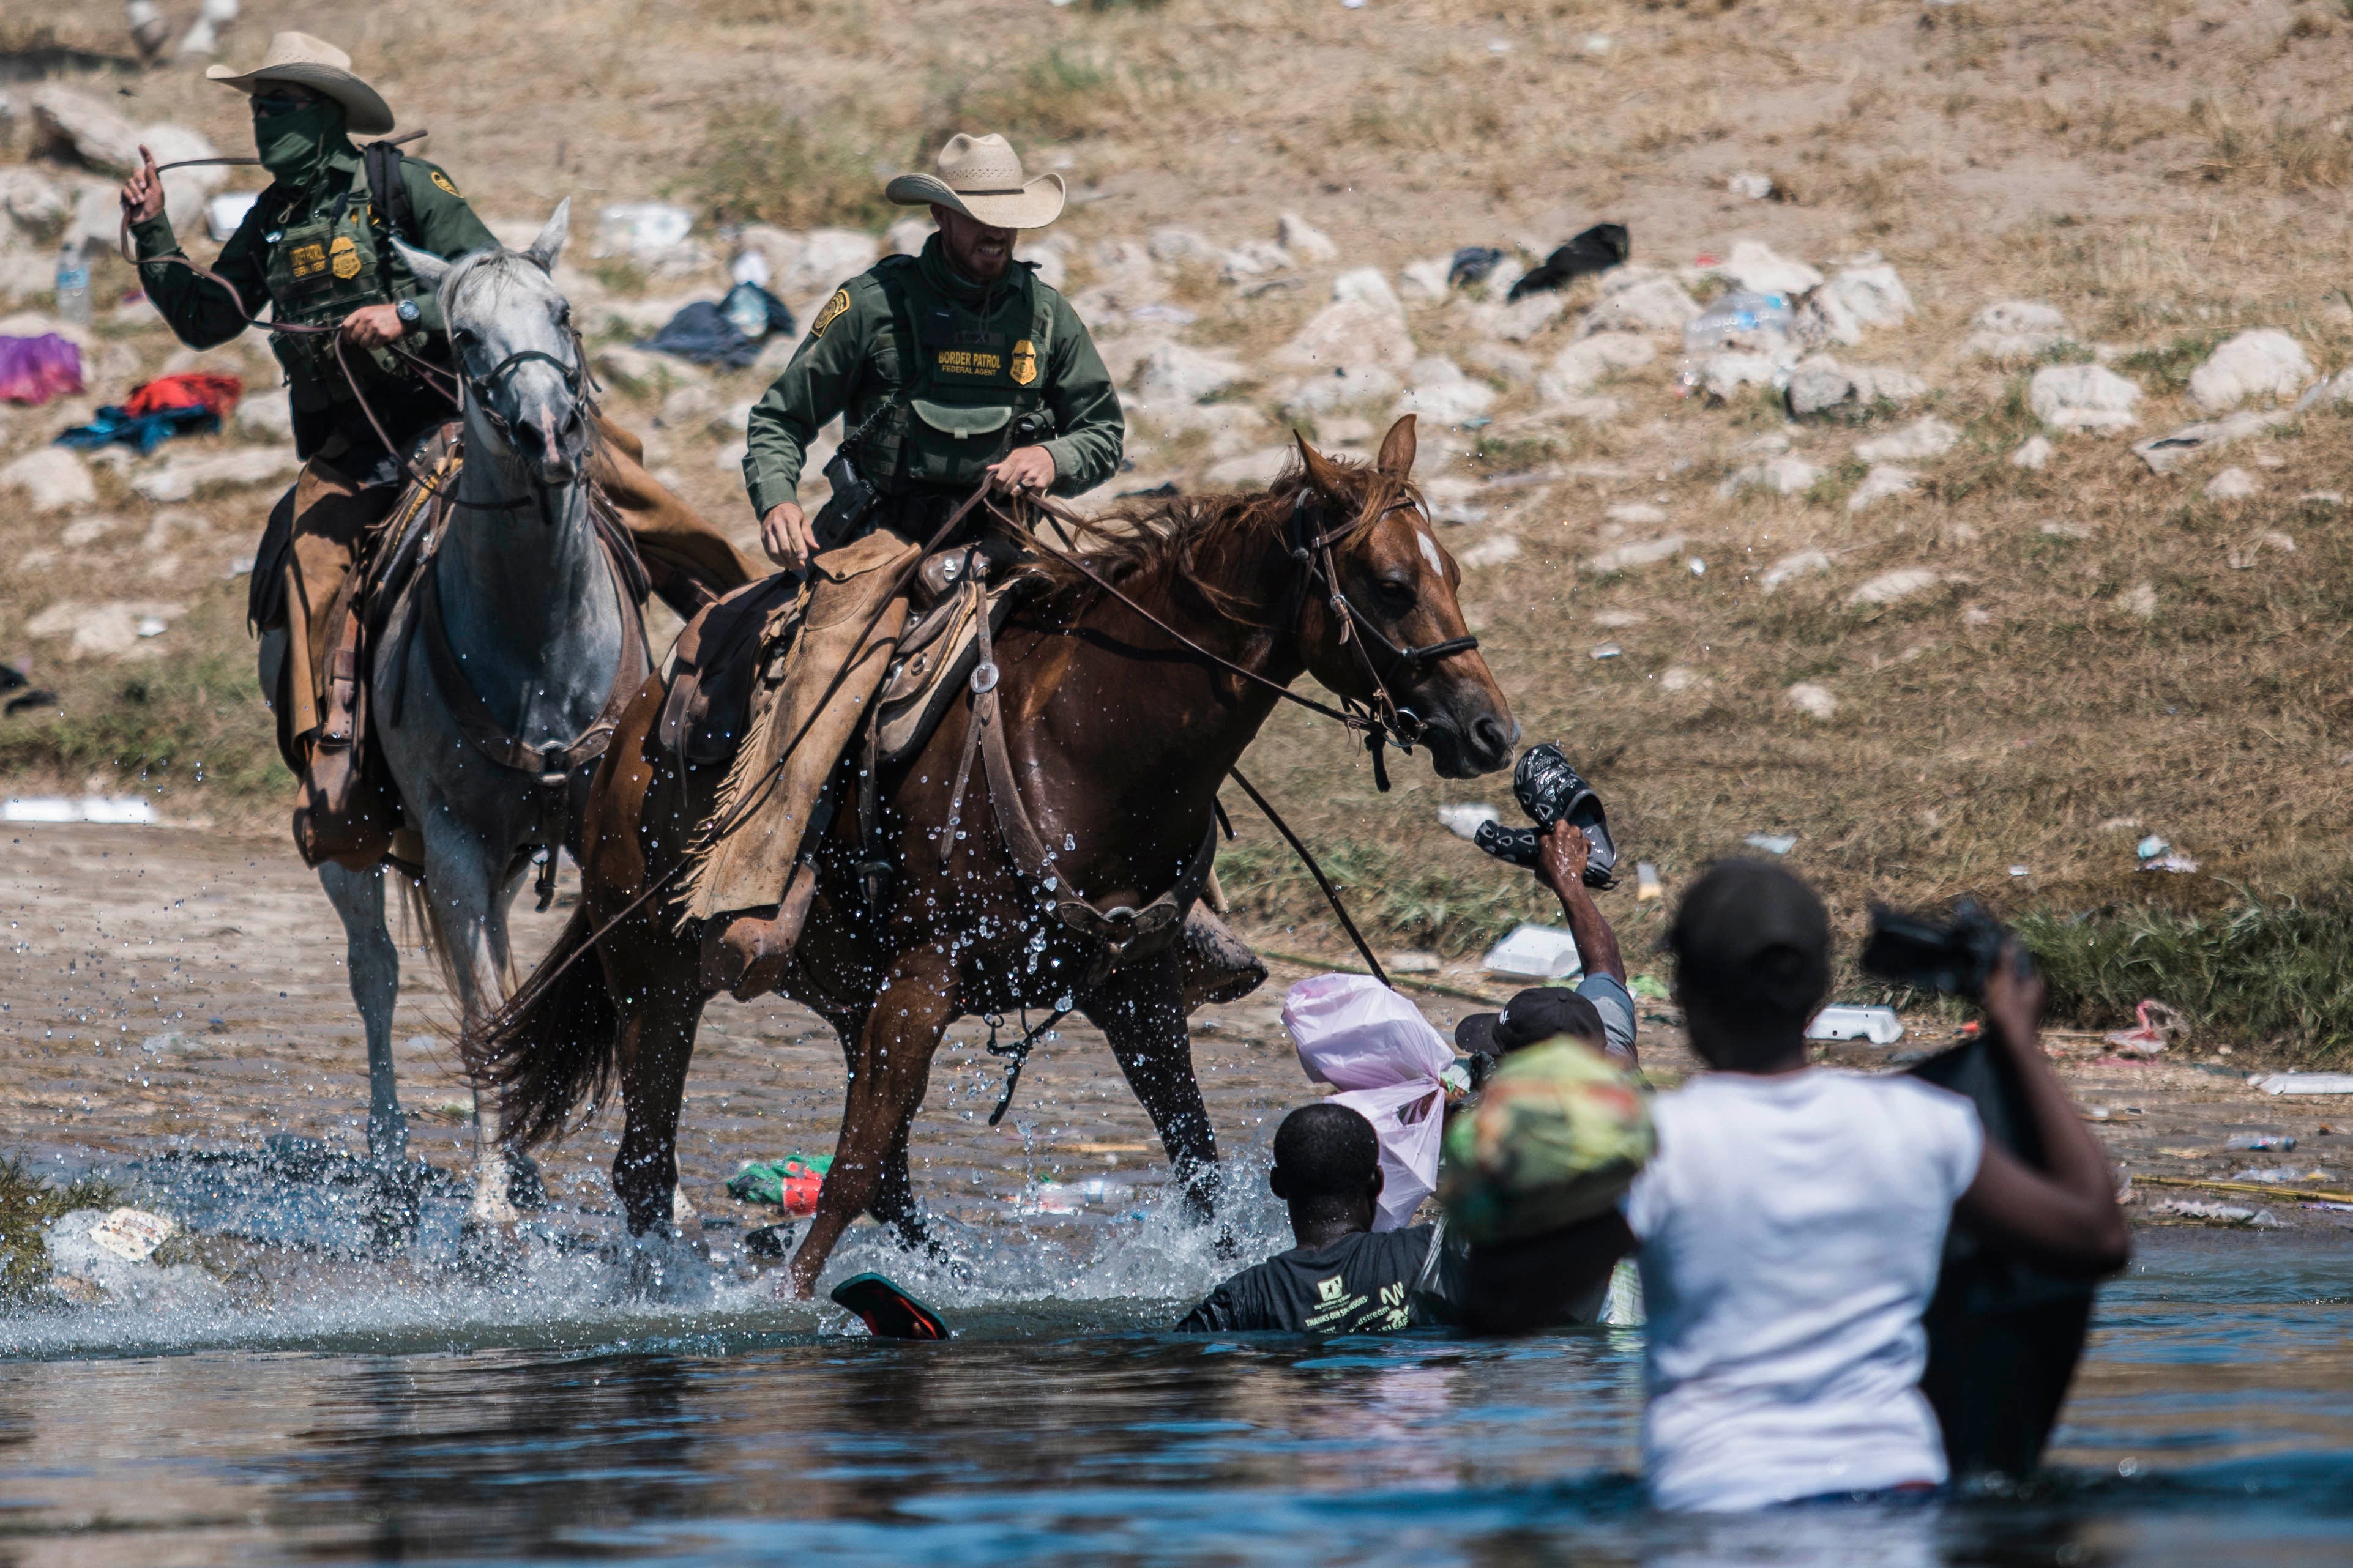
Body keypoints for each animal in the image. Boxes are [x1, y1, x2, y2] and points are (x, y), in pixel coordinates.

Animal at [298, 201, 647, 1228]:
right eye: (462, 337)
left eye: (562, 311)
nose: (547, 433)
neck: (538, 641)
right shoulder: (449, 843)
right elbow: (483, 1014)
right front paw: (489, 1204)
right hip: (356, 840)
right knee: (375, 971)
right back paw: (393, 1156)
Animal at [470, 414, 1516, 1293]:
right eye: (1391, 585)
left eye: (1455, 575)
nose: (1490, 730)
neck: (1087, 744)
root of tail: (629, 734)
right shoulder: (925, 980)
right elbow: (849, 1171)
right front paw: (789, 1303)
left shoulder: (1133, 993)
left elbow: (1199, 1164)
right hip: (655, 974)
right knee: (648, 1163)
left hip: (843, 991)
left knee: (883, 1176)